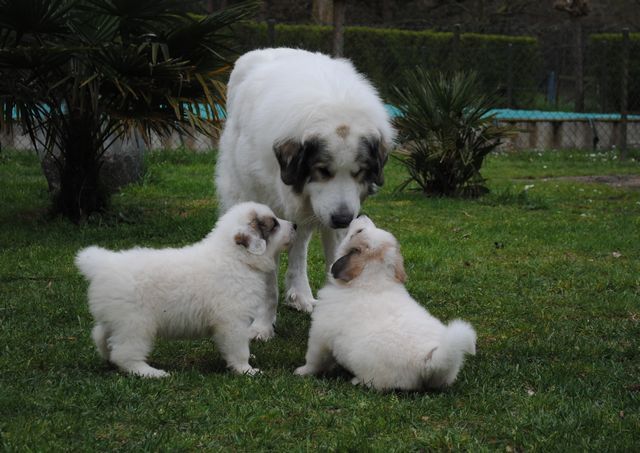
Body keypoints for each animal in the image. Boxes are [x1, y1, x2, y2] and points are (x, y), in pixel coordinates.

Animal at [76, 202, 296, 378]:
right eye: (274, 224)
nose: (295, 225)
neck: (236, 258)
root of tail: (103, 264)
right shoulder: (233, 322)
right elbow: (238, 348)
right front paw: (247, 370)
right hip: (135, 323)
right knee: (124, 353)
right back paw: (150, 373)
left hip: (115, 318)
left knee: (101, 337)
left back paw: (108, 358)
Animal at [296, 217, 476, 390]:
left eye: (358, 231)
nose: (361, 215)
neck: (374, 278)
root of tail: (430, 361)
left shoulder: (319, 336)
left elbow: (314, 360)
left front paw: (301, 371)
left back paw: (357, 381)